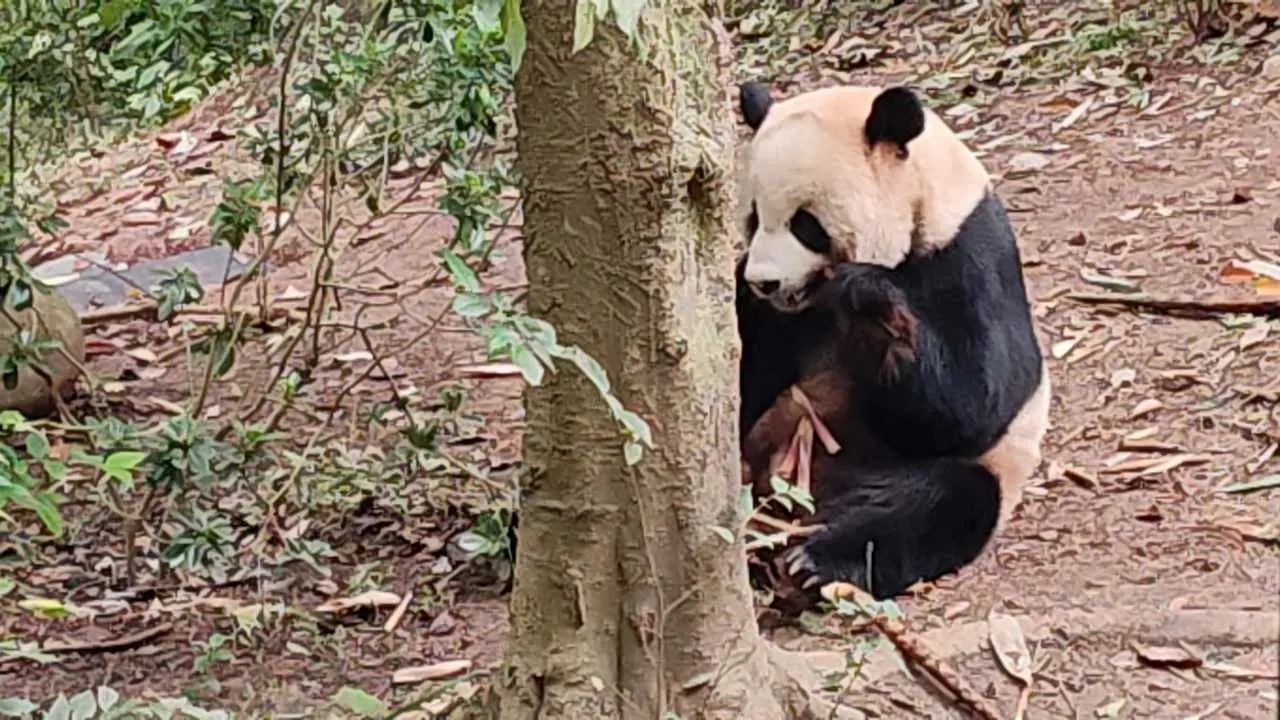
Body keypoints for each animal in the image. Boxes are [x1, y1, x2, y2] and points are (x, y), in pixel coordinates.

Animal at [734, 81, 1052, 602]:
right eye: (754, 218)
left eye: (805, 224)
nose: (765, 281)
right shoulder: (770, 318)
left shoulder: (969, 256)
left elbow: (976, 402)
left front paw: (867, 294)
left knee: (938, 504)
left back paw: (813, 561)